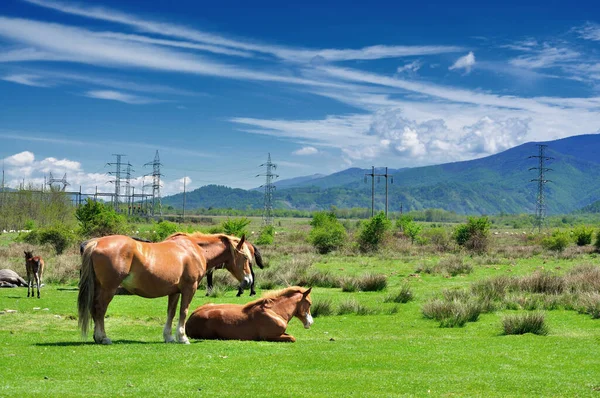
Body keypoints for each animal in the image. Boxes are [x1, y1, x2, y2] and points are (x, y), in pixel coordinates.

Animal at [78, 235, 253, 344]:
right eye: (245, 257)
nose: (248, 281)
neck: (194, 250)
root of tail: (96, 243)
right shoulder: (189, 288)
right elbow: (183, 311)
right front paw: (182, 337)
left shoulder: (174, 292)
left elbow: (171, 312)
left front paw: (169, 337)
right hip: (109, 288)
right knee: (100, 310)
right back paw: (103, 337)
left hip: (99, 287)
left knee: (94, 309)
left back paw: (97, 337)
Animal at [186, 286, 314, 342]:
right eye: (309, 303)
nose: (310, 322)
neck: (275, 311)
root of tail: (190, 318)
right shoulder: (269, 337)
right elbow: (292, 338)